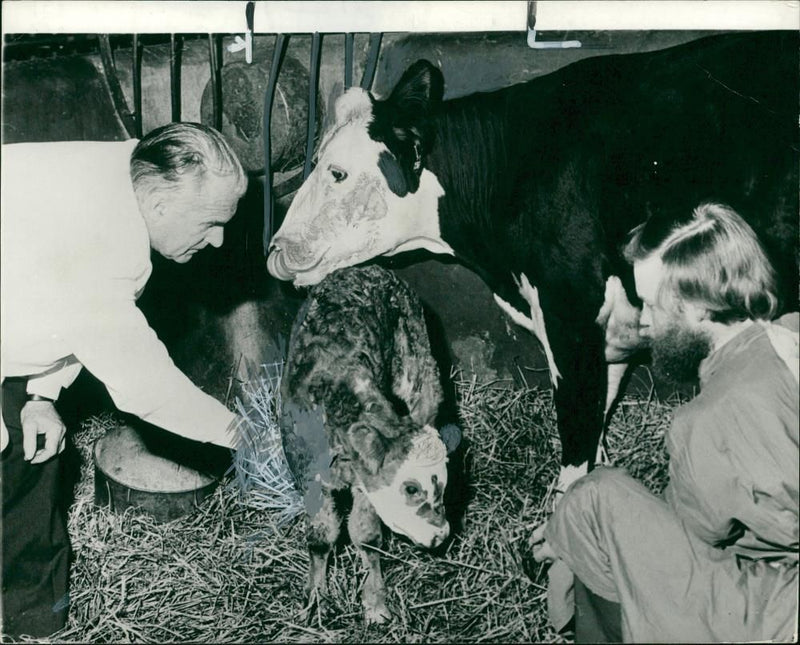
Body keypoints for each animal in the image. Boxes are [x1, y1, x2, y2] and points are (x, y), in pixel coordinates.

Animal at [280, 262, 456, 624]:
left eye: (445, 484)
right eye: (411, 488)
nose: (441, 535)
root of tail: (364, 268)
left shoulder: (365, 484)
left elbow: (367, 535)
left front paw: (375, 602)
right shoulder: (308, 476)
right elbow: (321, 536)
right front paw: (315, 598)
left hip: (418, 363)